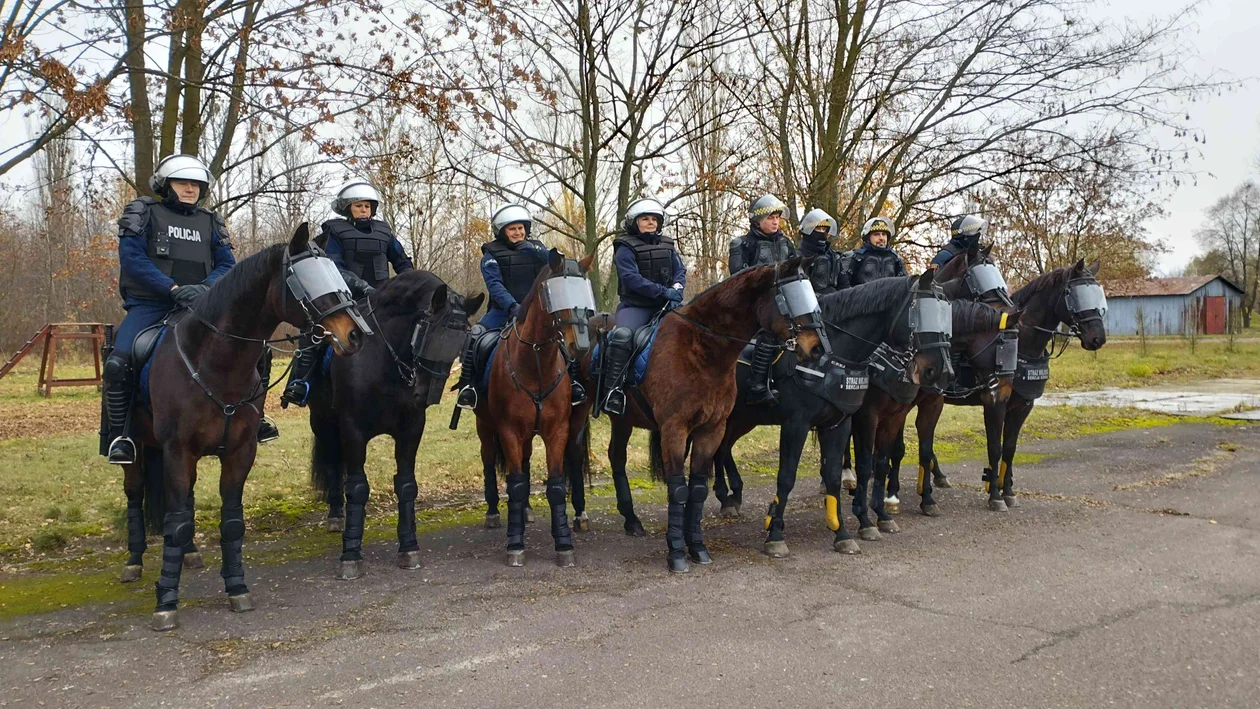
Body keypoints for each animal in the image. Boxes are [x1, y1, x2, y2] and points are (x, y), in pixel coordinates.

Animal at [304, 269, 481, 579]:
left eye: (459, 343)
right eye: (428, 334)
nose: (424, 394)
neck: (384, 361)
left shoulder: (411, 430)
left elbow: (407, 485)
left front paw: (408, 546)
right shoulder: (352, 430)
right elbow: (357, 487)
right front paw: (351, 553)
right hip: (323, 423)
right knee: (333, 465)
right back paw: (336, 514)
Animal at [473, 249, 597, 566]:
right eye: (556, 293)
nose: (580, 345)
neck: (537, 365)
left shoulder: (557, 430)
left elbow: (555, 485)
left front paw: (564, 544)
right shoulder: (508, 431)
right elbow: (515, 484)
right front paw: (515, 544)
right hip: (485, 426)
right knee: (488, 459)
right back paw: (493, 512)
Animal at [599, 258, 826, 574]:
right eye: (789, 298)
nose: (817, 349)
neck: (702, 347)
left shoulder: (712, 429)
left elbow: (697, 489)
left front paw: (697, 547)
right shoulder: (675, 429)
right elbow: (678, 490)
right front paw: (677, 553)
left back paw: (631, 521)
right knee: (613, 457)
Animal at [715, 270, 947, 554]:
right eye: (920, 313)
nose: (937, 369)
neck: (832, 358)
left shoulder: (843, 423)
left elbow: (841, 474)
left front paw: (846, 531)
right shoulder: (799, 424)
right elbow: (788, 477)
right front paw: (775, 534)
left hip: (740, 419)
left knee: (722, 449)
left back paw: (729, 497)